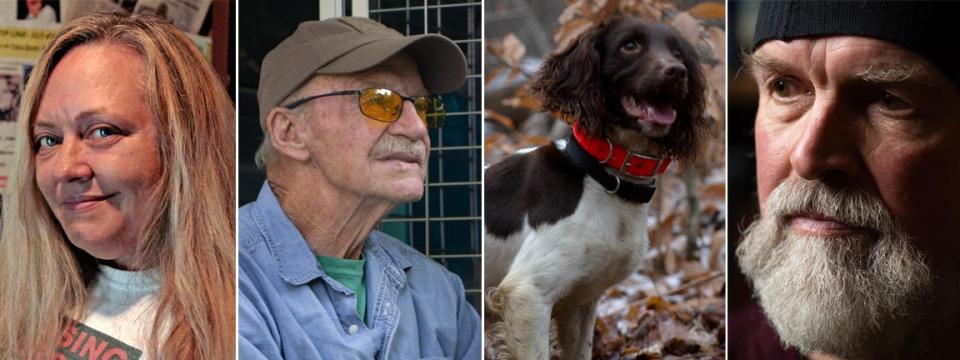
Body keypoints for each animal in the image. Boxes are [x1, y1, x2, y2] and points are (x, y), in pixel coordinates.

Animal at [488, 15, 704, 358]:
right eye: (630, 45)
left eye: (678, 53)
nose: (676, 71)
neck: (604, 179)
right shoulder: (527, 295)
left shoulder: (581, 301)